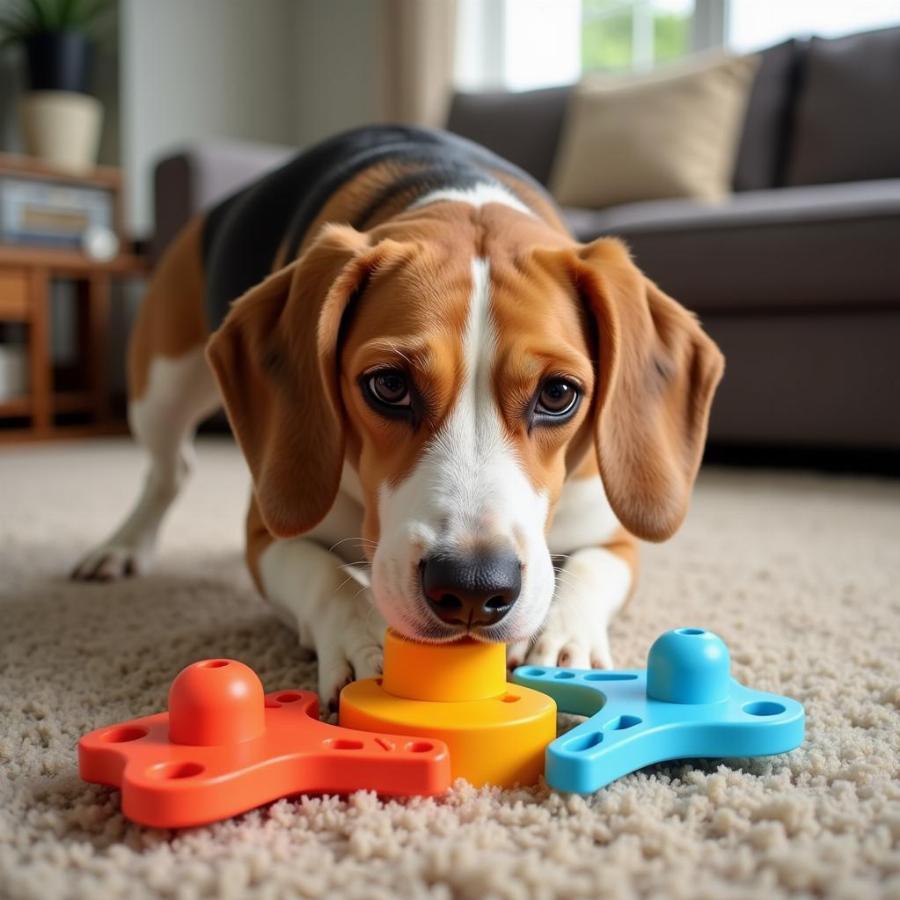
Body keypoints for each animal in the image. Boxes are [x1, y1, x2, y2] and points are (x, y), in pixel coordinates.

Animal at [74, 126, 728, 708]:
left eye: (559, 393)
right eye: (388, 385)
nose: (472, 588)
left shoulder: (613, 535)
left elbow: (590, 571)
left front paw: (565, 643)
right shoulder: (267, 533)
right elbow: (328, 577)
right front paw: (365, 638)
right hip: (158, 389)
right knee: (169, 469)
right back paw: (121, 545)